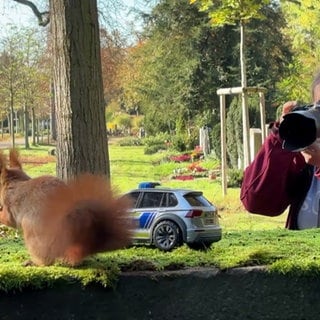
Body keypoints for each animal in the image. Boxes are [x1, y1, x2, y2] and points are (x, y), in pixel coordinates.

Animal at [0, 149, 133, 266]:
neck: (15, 181)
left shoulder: (8, 203)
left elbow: (7, 219)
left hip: (32, 229)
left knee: (46, 259)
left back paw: (34, 262)